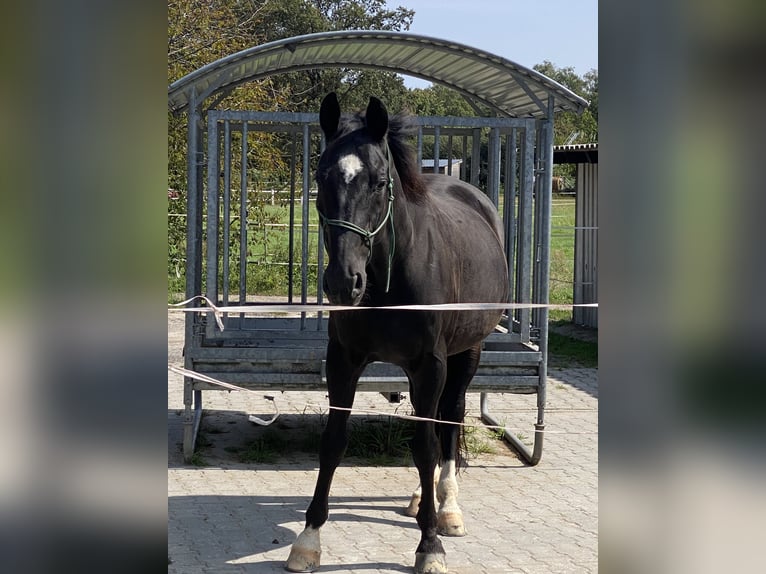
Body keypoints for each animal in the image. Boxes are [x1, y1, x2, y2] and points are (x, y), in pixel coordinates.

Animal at [288, 92, 510, 572]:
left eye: (378, 182)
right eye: (321, 177)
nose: (343, 282)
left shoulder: (431, 365)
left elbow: (425, 446)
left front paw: (430, 545)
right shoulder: (344, 359)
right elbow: (333, 441)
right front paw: (308, 539)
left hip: (467, 353)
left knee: (450, 418)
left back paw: (447, 509)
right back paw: (420, 501)